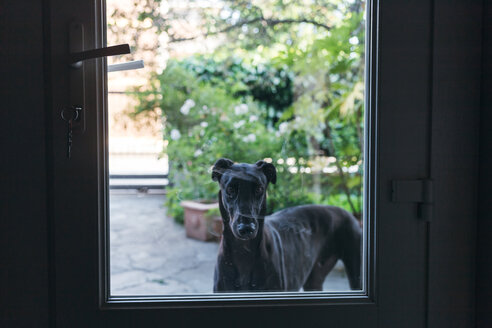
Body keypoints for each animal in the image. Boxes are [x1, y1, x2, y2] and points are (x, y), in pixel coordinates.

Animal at [211, 159, 362, 292]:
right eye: (230, 189)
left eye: (259, 189)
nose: (247, 229)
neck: (243, 252)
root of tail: (347, 212)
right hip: (315, 278)